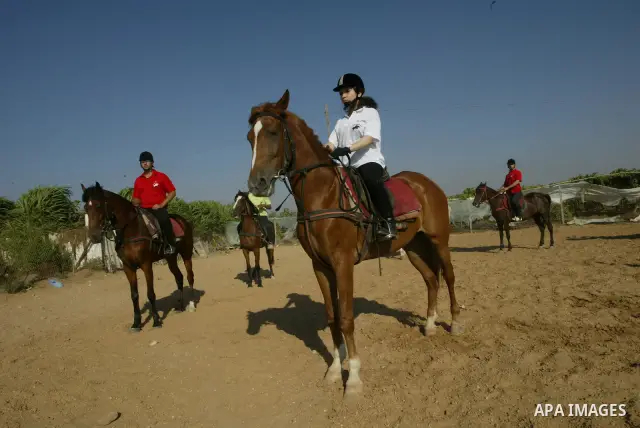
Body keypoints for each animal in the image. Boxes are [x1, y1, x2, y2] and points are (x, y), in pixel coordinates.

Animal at [81, 182, 196, 331]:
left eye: (98, 205)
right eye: (86, 207)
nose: (94, 236)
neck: (131, 229)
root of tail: (183, 221)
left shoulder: (146, 265)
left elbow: (150, 293)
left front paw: (156, 321)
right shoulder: (128, 267)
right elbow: (134, 295)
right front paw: (136, 323)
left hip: (186, 254)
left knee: (190, 276)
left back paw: (191, 304)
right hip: (171, 258)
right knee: (179, 277)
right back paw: (180, 306)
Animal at [244, 89, 461, 399]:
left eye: (273, 132)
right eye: (250, 137)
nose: (257, 184)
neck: (323, 194)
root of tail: (428, 184)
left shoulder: (343, 262)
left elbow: (346, 318)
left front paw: (354, 378)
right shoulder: (320, 267)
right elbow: (332, 317)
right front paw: (335, 369)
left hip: (439, 241)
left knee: (450, 277)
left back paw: (454, 323)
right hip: (414, 248)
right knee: (432, 280)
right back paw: (430, 326)